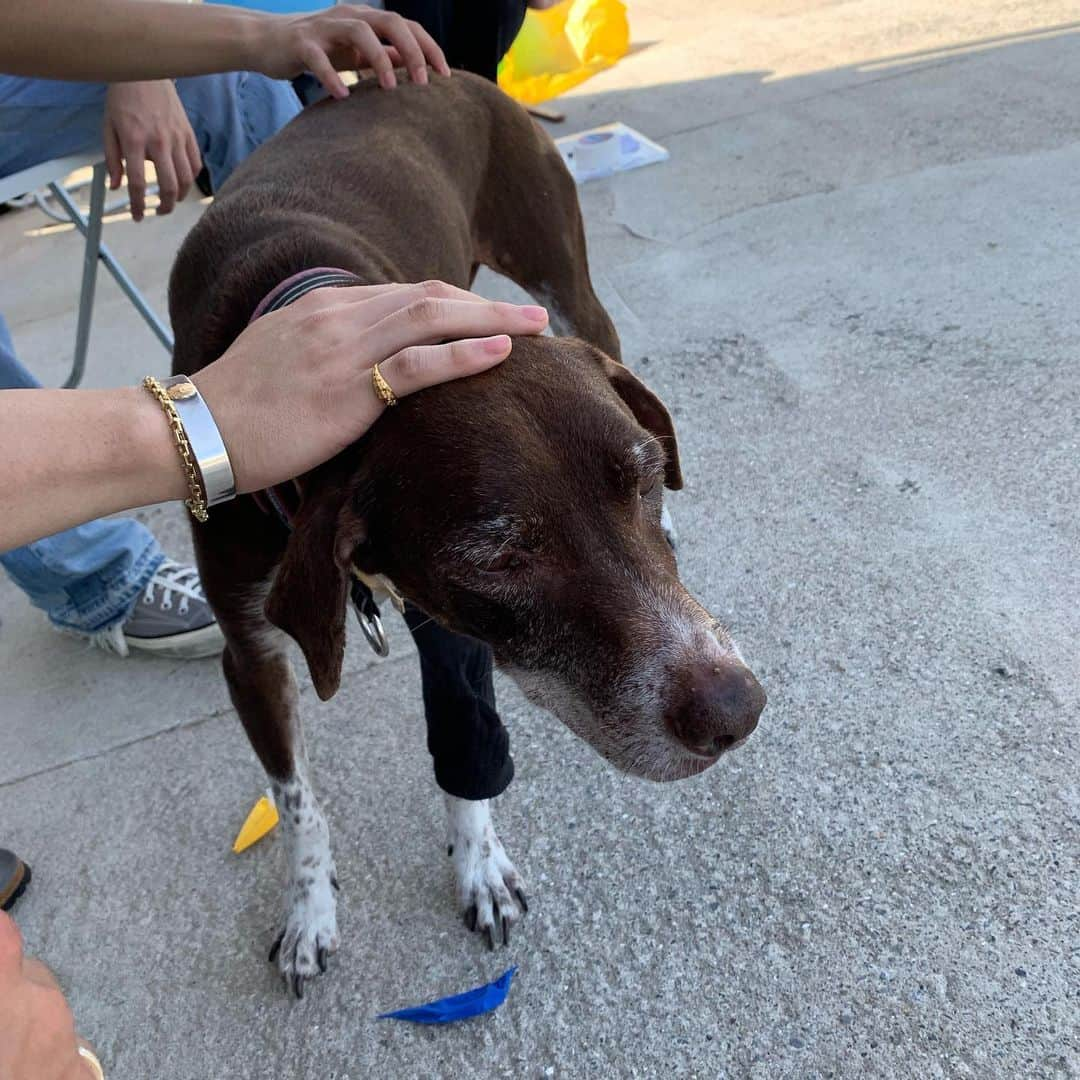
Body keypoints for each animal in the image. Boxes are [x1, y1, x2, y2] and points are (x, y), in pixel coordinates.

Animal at [168, 67, 764, 993]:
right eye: (501, 558)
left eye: (638, 480)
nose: (737, 710)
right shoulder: (250, 653)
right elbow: (296, 801)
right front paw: (310, 909)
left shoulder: (450, 635)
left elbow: (468, 747)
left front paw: (478, 865)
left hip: (564, 281)